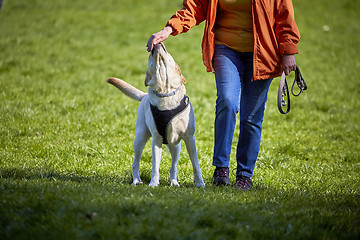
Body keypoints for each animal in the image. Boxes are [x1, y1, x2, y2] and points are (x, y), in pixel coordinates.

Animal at [107, 42, 204, 188]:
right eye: (149, 56)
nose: (157, 43)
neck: (165, 92)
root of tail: (144, 96)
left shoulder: (189, 138)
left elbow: (195, 164)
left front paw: (200, 183)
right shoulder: (156, 140)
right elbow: (155, 166)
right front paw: (153, 183)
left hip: (176, 146)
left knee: (173, 167)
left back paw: (174, 182)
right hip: (140, 138)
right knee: (135, 163)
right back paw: (136, 180)